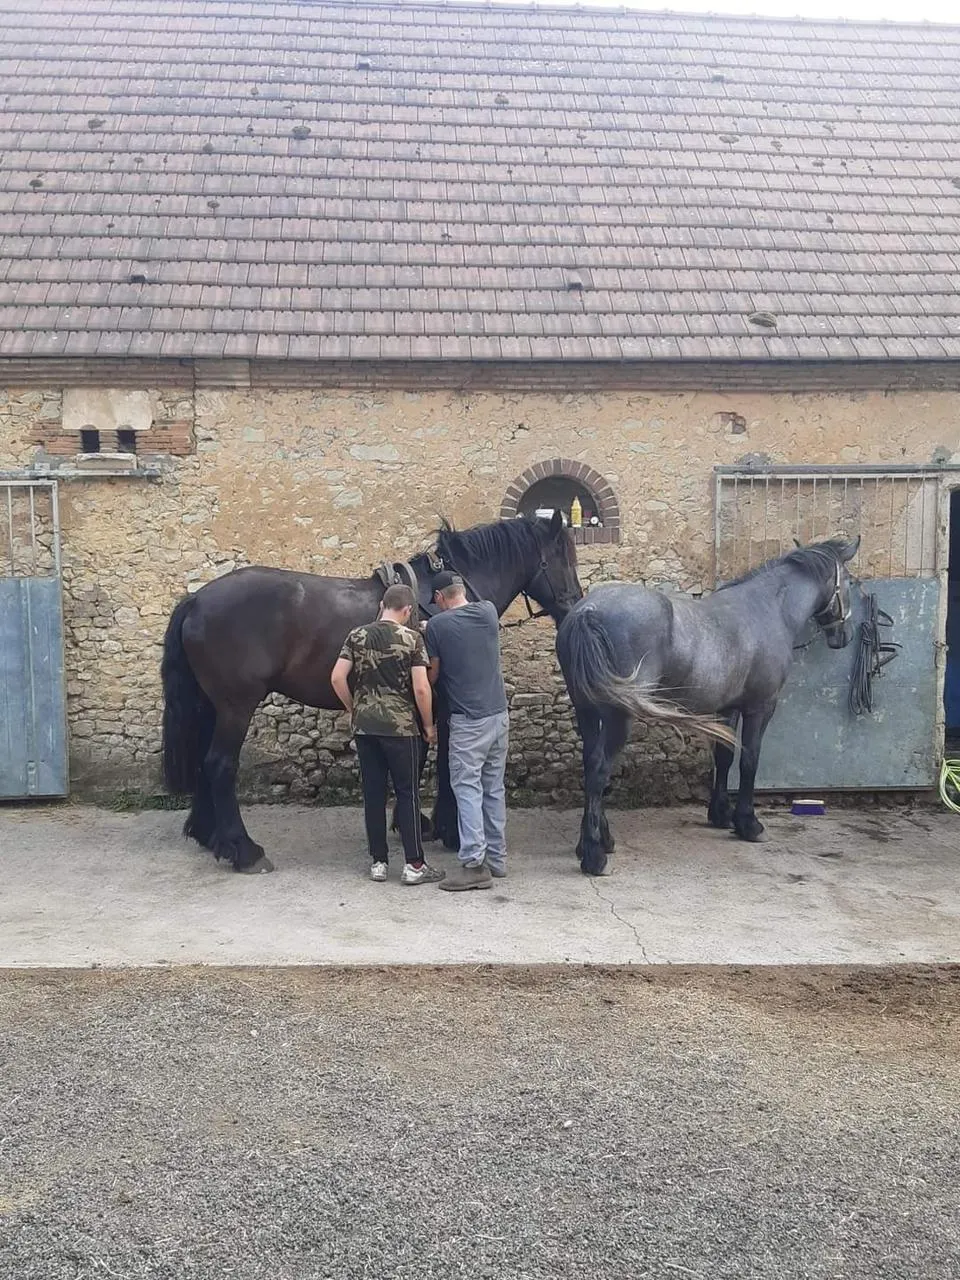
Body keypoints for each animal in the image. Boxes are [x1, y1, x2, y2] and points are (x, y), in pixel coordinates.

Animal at [161, 512, 582, 873]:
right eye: (563, 557)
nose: (574, 606)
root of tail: (196, 600)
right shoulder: (442, 703)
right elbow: (441, 759)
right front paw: (445, 827)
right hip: (236, 706)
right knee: (220, 765)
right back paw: (243, 849)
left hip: (212, 706)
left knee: (204, 762)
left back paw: (211, 836)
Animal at [556, 537, 860, 876]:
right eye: (850, 582)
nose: (844, 636)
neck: (769, 610)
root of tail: (588, 612)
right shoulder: (760, 707)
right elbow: (749, 761)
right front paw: (748, 823)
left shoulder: (729, 708)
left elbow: (725, 757)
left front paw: (721, 814)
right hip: (617, 717)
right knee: (599, 770)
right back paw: (594, 855)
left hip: (587, 711)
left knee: (589, 765)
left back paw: (596, 841)